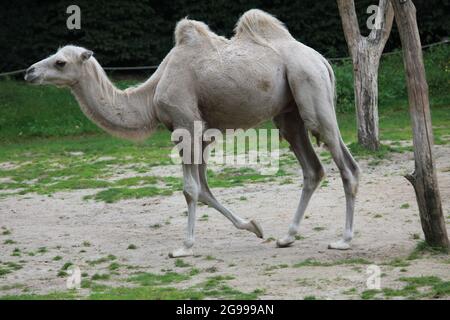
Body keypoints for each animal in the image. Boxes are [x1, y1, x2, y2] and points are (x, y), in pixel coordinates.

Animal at [25, 9, 362, 258]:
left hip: (310, 88)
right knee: (313, 169)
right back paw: (287, 237)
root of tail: (321, 60)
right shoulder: (200, 134)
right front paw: (253, 226)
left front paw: (184, 247)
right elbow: (204, 190)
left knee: (347, 166)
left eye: (60, 62)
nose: (29, 72)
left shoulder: (185, 124)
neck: (150, 95)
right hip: (289, 113)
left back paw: (344, 240)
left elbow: (190, 189)